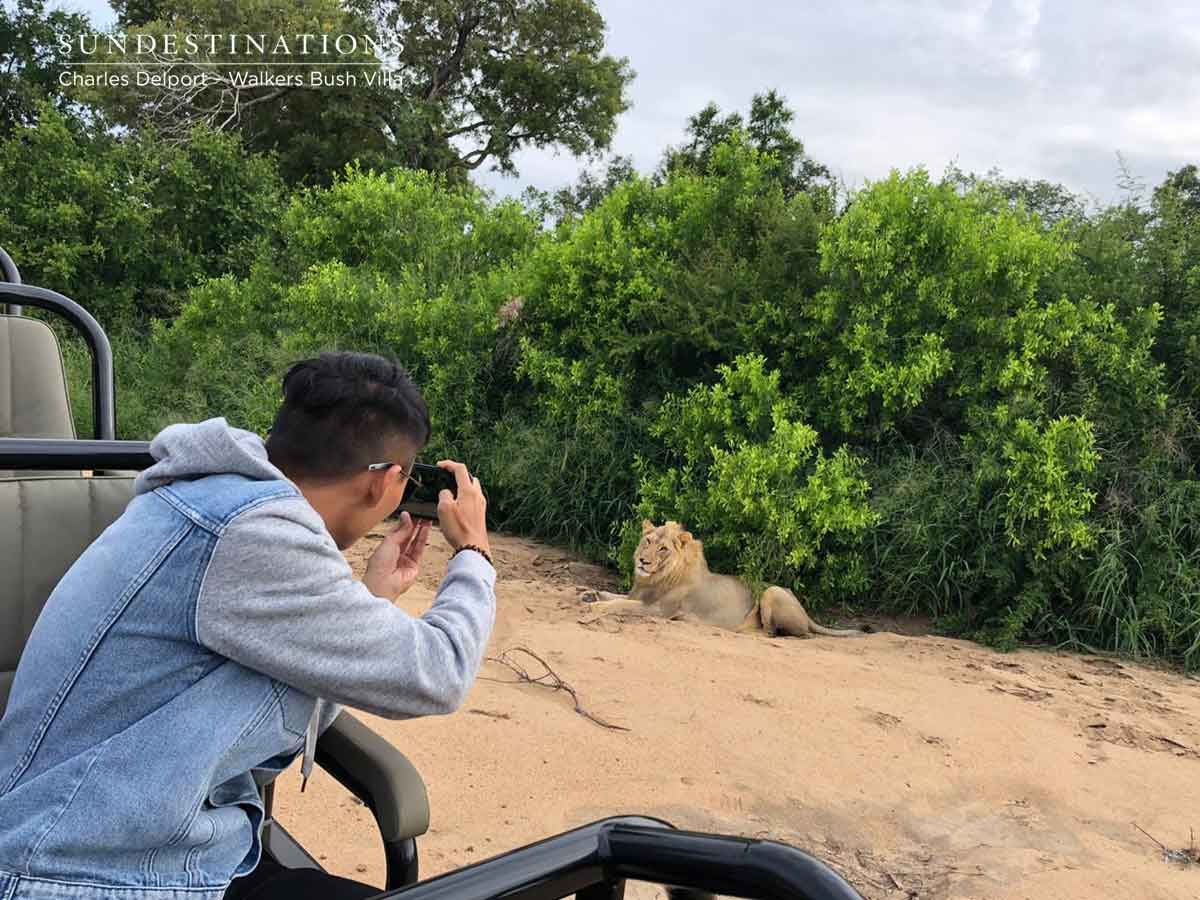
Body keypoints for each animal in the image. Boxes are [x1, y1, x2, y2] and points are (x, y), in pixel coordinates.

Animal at [579, 519, 864, 638]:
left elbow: (620, 604)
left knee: (787, 633)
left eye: (663, 549)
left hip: (771, 591)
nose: (642, 561)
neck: (655, 577)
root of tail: (806, 612)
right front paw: (588, 594)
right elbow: (614, 595)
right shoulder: (638, 594)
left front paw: (594, 607)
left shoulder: (658, 610)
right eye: (647, 541)